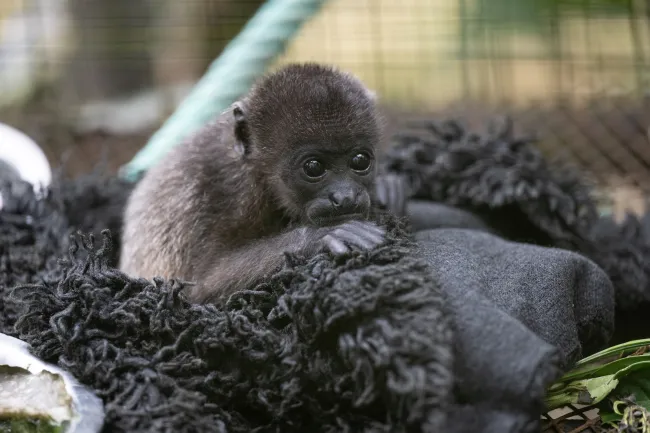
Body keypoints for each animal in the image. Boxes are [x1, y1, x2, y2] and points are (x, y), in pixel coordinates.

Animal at [119, 63, 408, 304]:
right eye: (313, 167)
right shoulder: (219, 192)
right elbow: (197, 289)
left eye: (360, 160)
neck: (257, 175)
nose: (345, 195)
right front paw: (322, 236)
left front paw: (386, 188)